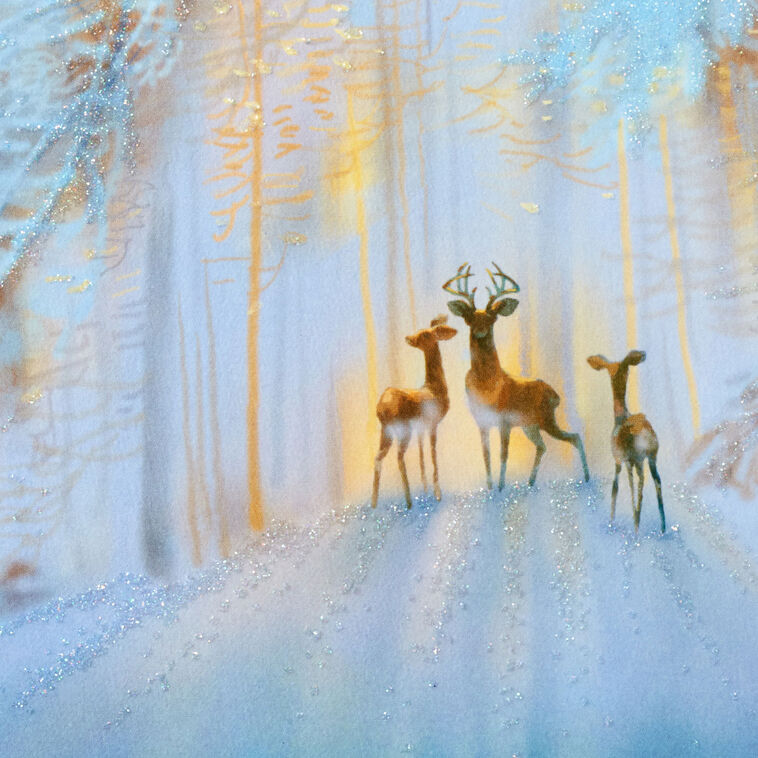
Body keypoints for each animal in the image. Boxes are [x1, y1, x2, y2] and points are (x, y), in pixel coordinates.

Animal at [371, 315, 458, 509]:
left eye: (425, 334)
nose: (408, 338)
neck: (434, 388)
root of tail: (381, 406)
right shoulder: (432, 425)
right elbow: (432, 453)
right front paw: (437, 494)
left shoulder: (421, 428)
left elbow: (421, 456)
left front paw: (426, 490)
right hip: (403, 431)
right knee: (399, 458)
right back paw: (409, 502)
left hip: (386, 432)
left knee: (378, 459)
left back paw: (374, 503)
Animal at [443, 263, 589, 490]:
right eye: (469, 319)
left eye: (492, 318)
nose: (479, 332)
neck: (487, 387)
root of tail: (556, 395)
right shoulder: (482, 421)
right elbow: (486, 455)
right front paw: (490, 488)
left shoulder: (505, 420)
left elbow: (504, 455)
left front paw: (501, 488)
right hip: (530, 425)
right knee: (543, 446)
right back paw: (530, 482)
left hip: (546, 418)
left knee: (574, 437)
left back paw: (587, 477)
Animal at [587, 351, 665, 533]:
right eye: (611, 369)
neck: (621, 416)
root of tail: (645, 433)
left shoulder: (619, 460)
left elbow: (615, 487)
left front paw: (612, 520)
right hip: (651, 458)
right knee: (656, 481)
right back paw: (663, 528)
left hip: (636, 460)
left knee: (637, 484)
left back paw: (636, 526)